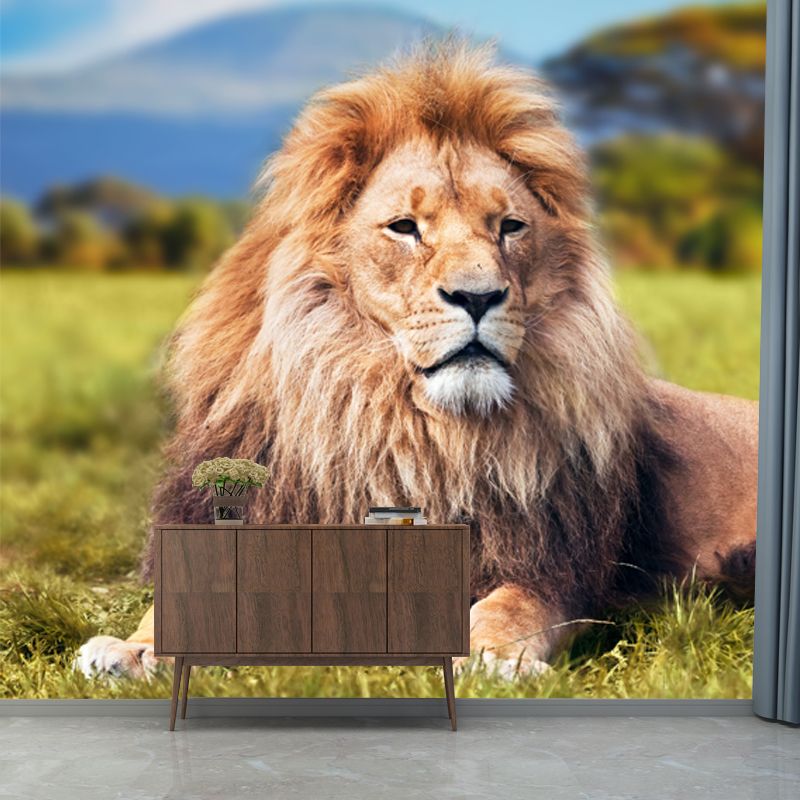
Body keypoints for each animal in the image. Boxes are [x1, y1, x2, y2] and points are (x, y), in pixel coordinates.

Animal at [75, 44, 758, 681]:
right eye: (404, 227)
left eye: (510, 226)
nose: (479, 296)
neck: (407, 424)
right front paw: (133, 648)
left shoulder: (558, 564)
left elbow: (513, 606)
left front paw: (493, 657)